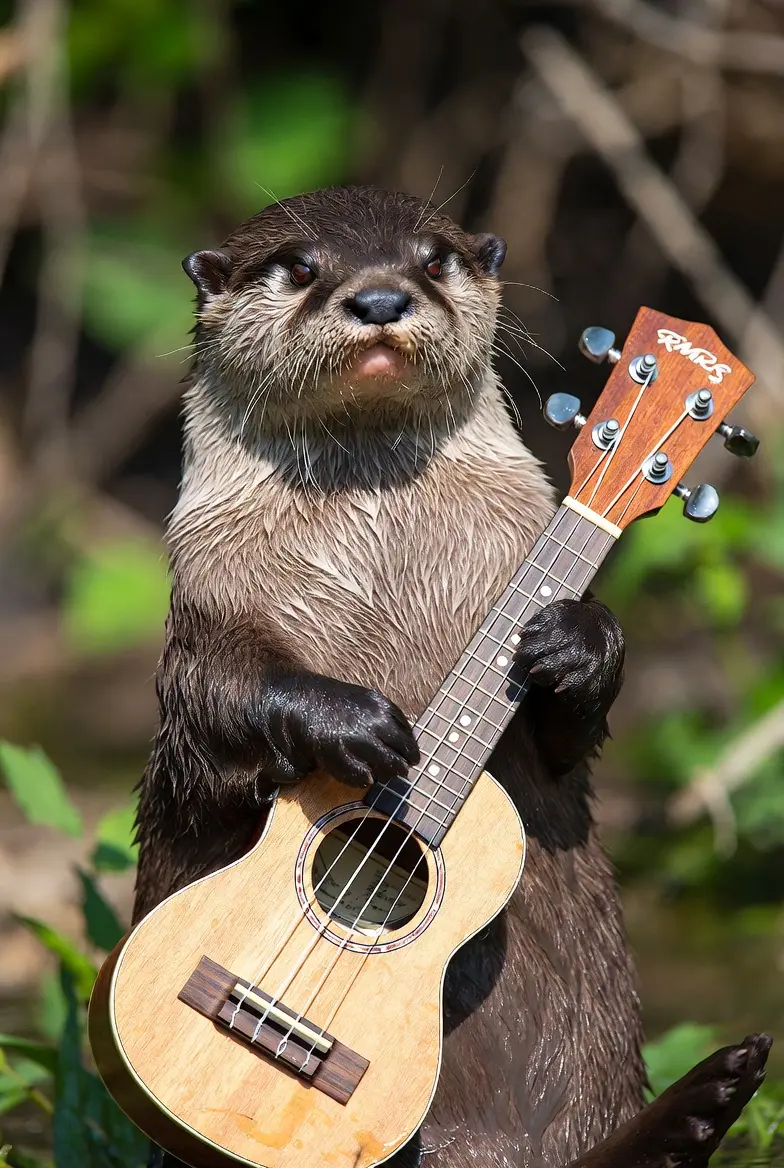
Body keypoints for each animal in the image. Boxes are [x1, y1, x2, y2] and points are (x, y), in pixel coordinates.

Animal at [134, 186, 770, 1168]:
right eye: (300, 265)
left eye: (433, 258)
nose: (380, 297)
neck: (381, 568)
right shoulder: (206, 607)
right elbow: (219, 710)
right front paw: (353, 725)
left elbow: (569, 743)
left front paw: (577, 642)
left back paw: (693, 1113)